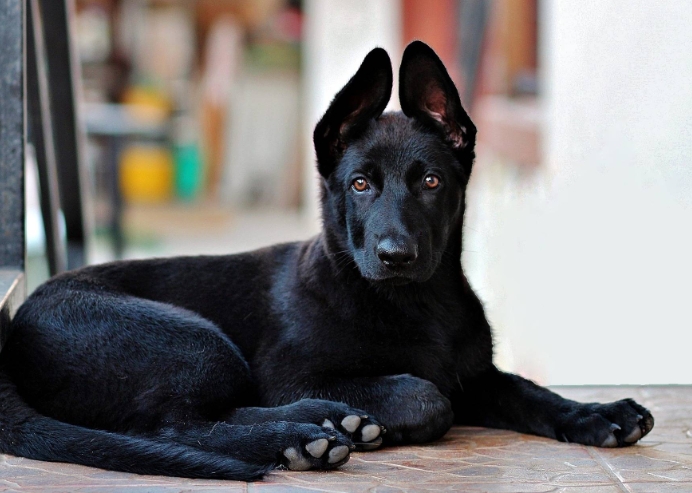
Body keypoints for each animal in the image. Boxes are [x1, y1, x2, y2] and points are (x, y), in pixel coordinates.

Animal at [0, 40, 652, 478]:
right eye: (360, 184)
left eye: (432, 181)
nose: (396, 255)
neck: (417, 302)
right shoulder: (289, 372)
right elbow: (425, 395)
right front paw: (377, 412)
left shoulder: (478, 375)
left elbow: (530, 392)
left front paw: (597, 412)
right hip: (196, 341)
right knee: (173, 423)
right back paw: (305, 435)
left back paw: (328, 425)